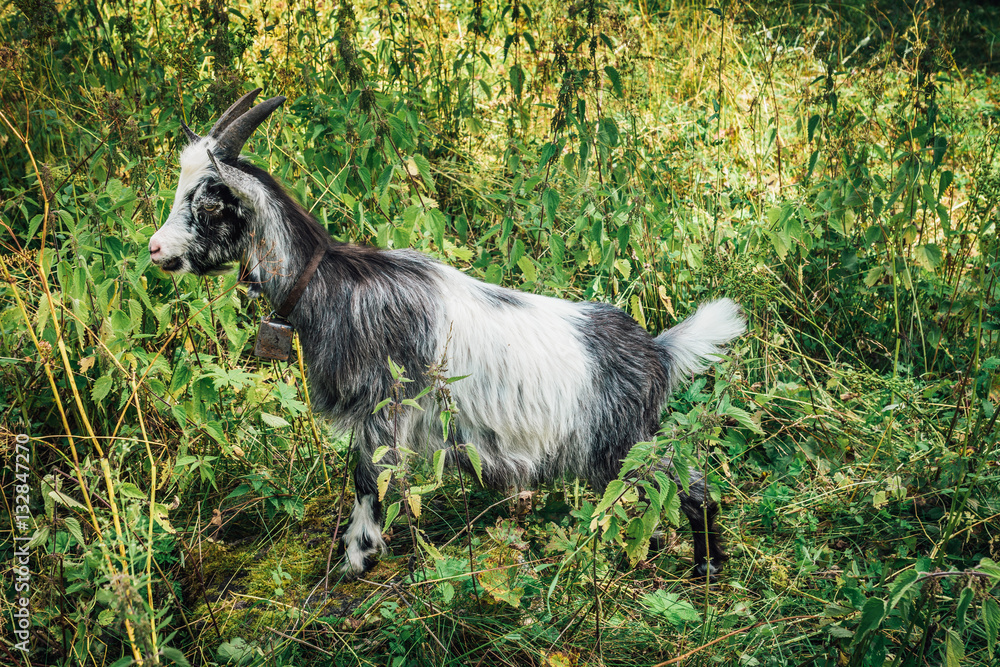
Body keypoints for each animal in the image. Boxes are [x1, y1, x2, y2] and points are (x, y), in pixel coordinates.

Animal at [148, 89, 746, 579]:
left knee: (689, 483)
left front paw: (357, 556)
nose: (156, 250)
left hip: (623, 443)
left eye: (208, 202)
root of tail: (658, 351)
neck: (331, 284)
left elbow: (369, 479)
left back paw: (708, 567)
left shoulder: (383, 407)